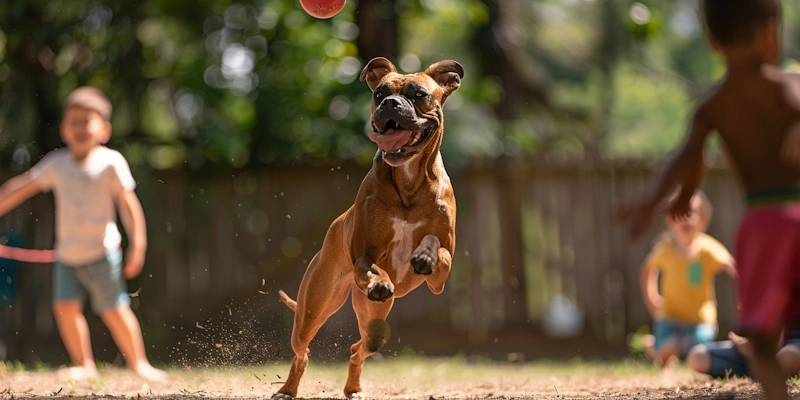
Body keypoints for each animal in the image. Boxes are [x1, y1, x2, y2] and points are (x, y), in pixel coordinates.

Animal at [274, 57, 462, 400]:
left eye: (418, 94)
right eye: (379, 94)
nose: (390, 103)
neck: (408, 181)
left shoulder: (441, 277)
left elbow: (435, 246)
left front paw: (423, 256)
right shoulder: (364, 255)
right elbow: (372, 265)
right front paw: (379, 280)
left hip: (374, 323)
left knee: (359, 347)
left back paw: (353, 387)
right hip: (312, 311)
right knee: (303, 352)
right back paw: (288, 389)